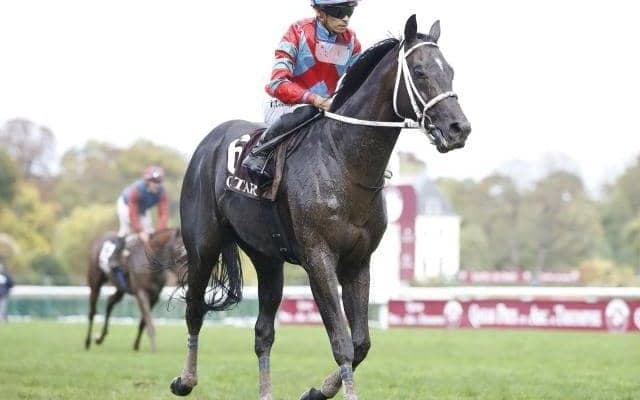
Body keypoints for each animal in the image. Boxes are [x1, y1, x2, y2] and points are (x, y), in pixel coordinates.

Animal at [170, 16, 471, 400]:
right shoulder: (319, 259)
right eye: (419, 72)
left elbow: (361, 343)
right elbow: (342, 342)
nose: (459, 128)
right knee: (194, 308)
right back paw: (185, 379)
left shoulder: (358, 262)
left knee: (263, 331)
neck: (344, 162)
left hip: (267, 259)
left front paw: (317, 390)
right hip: (203, 245)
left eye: (449, 71)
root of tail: (209, 141)